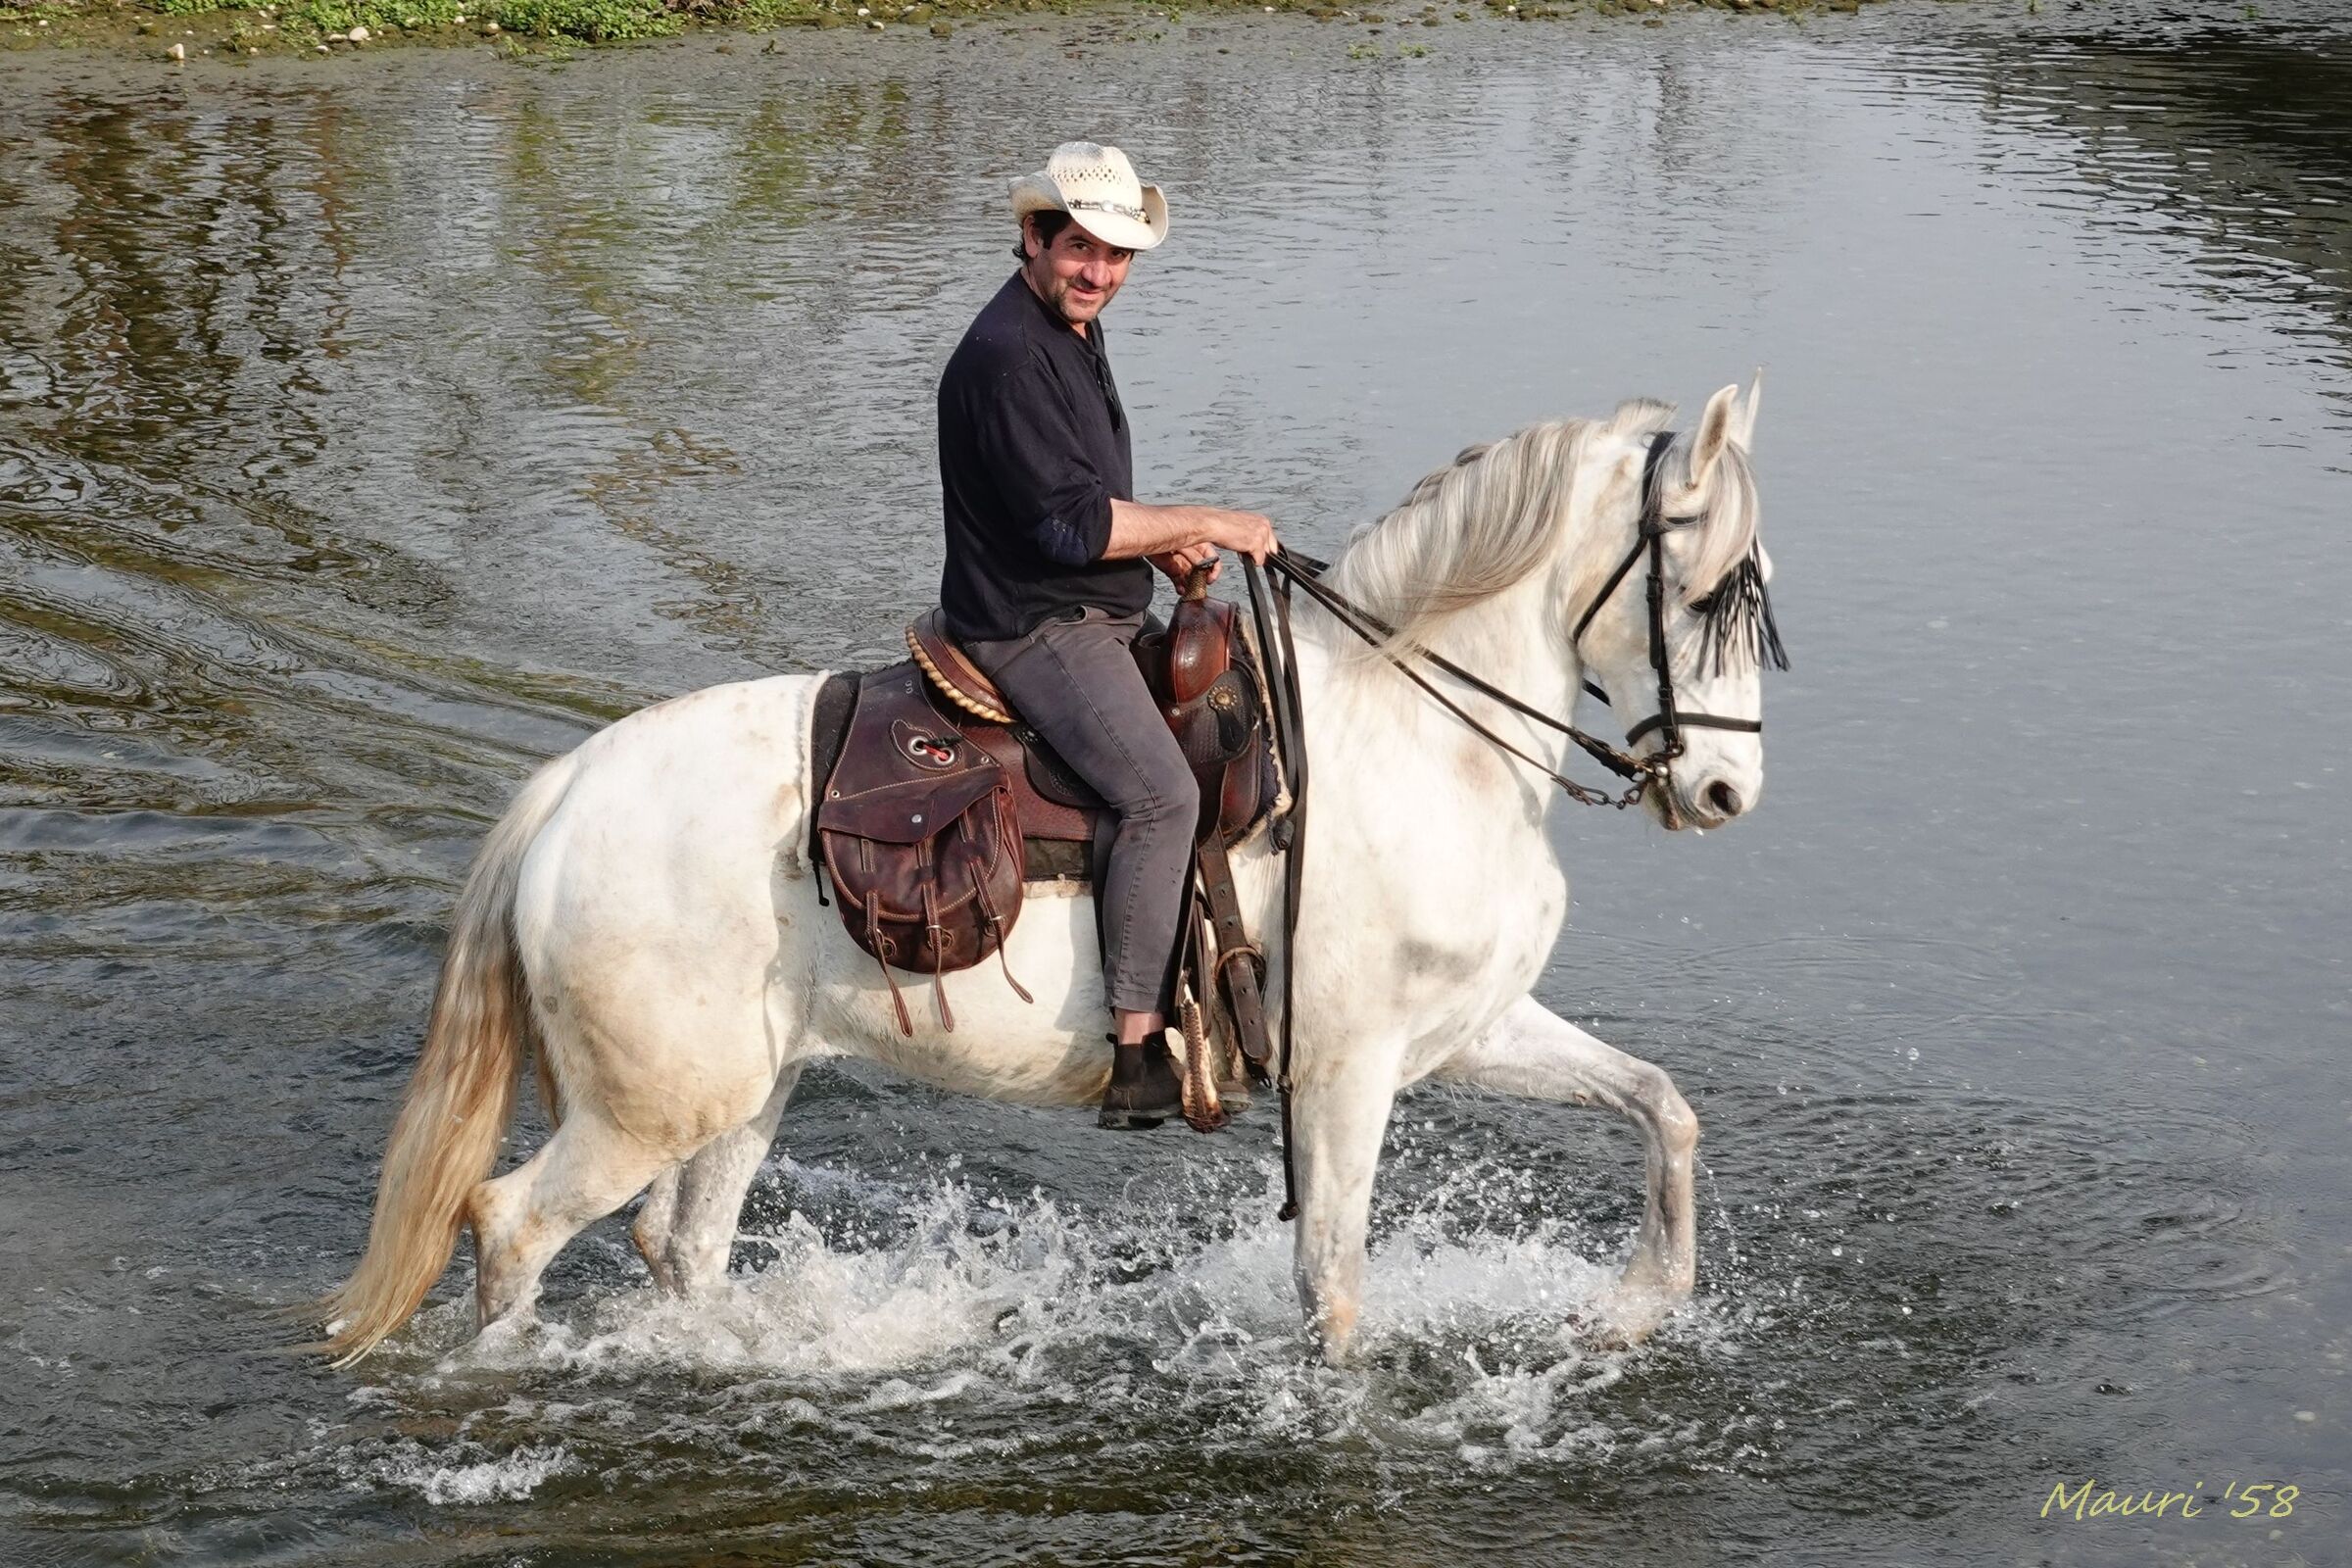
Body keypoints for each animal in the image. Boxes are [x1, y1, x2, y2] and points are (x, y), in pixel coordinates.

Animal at [312, 378, 1775, 1368]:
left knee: (680, 1247)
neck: (1423, 736)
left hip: (737, 1093)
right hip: (641, 1111)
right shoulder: (1345, 1072)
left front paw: (1636, 1304)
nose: (1725, 795)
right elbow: (1335, 1285)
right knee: (508, 1223)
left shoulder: (1469, 1029)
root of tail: (564, 794)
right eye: (1712, 592)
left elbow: (1665, 1108)